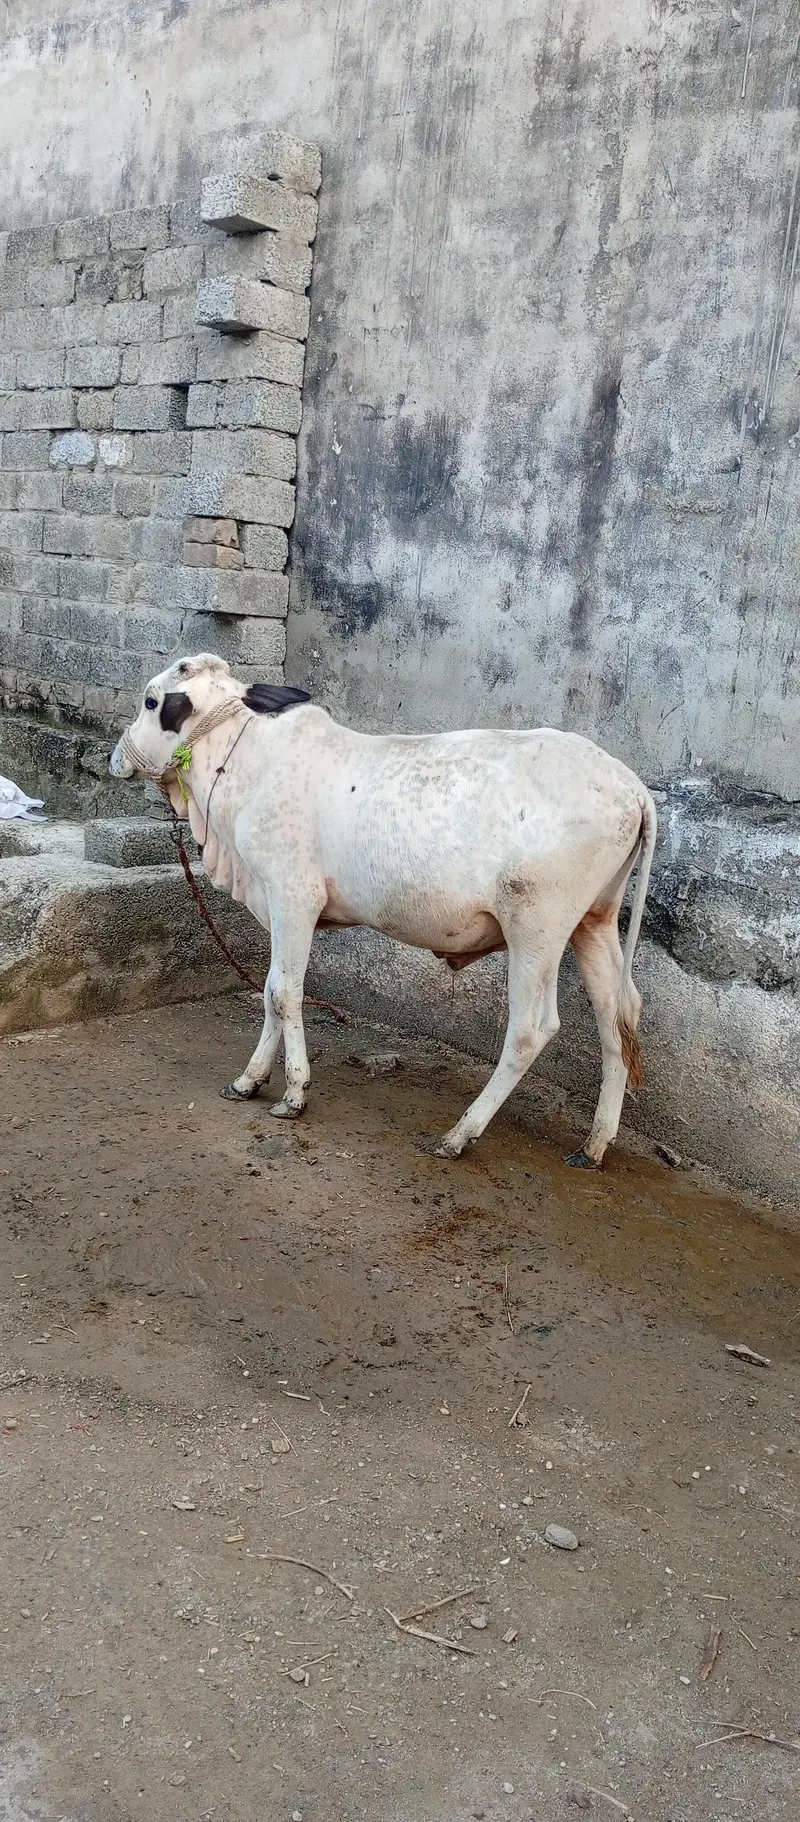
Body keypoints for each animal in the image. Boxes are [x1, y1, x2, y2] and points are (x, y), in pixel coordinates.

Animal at [110, 653, 657, 1167]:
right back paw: (594, 1143)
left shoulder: (293, 897)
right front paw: (249, 1080)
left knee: (531, 1029)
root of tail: (631, 786)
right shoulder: (277, 903)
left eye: (151, 702)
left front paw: (293, 1093)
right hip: (593, 923)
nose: (117, 757)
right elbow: (269, 991)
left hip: (536, 927)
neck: (245, 761)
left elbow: (284, 992)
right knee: (617, 1014)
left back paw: (459, 1134)